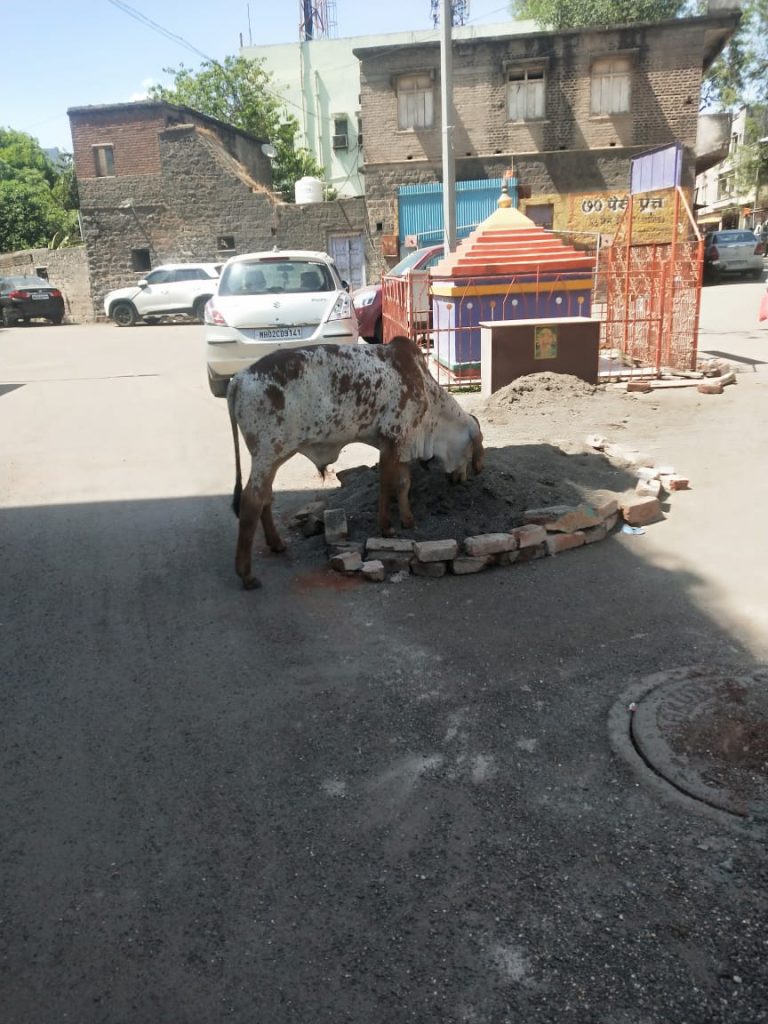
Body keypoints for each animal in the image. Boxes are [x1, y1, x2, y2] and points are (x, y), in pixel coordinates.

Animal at [227, 337, 484, 589]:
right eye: (472, 450)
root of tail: (238, 379)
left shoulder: (402, 444)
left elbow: (403, 484)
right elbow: (386, 486)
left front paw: (408, 520)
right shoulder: (391, 440)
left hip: (271, 459)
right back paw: (246, 575)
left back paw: (276, 543)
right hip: (268, 454)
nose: (464, 478)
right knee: (251, 501)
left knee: (265, 497)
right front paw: (386, 527)